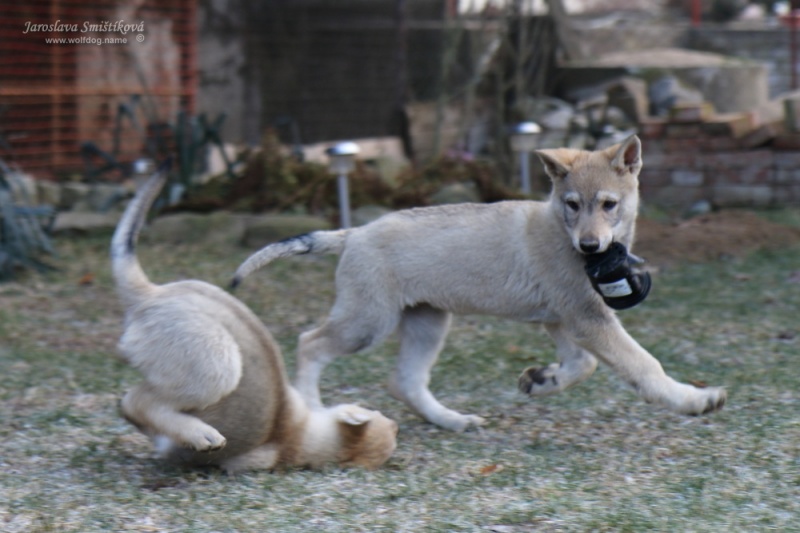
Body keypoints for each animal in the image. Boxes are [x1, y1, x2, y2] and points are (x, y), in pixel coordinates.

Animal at [111, 168, 398, 472]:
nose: (395, 425)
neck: (296, 436)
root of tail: (150, 295)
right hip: (219, 366)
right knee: (134, 401)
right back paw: (201, 434)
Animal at [231, 135, 724, 430]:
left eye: (609, 204)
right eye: (572, 204)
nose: (589, 247)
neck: (558, 229)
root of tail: (354, 233)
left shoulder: (565, 320)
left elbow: (582, 365)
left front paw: (542, 380)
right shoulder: (586, 319)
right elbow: (643, 365)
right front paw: (691, 400)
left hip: (427, 323)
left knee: (404, 381)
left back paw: (450, 420)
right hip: (368, 323)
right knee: (310, 343)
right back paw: (315, 411)